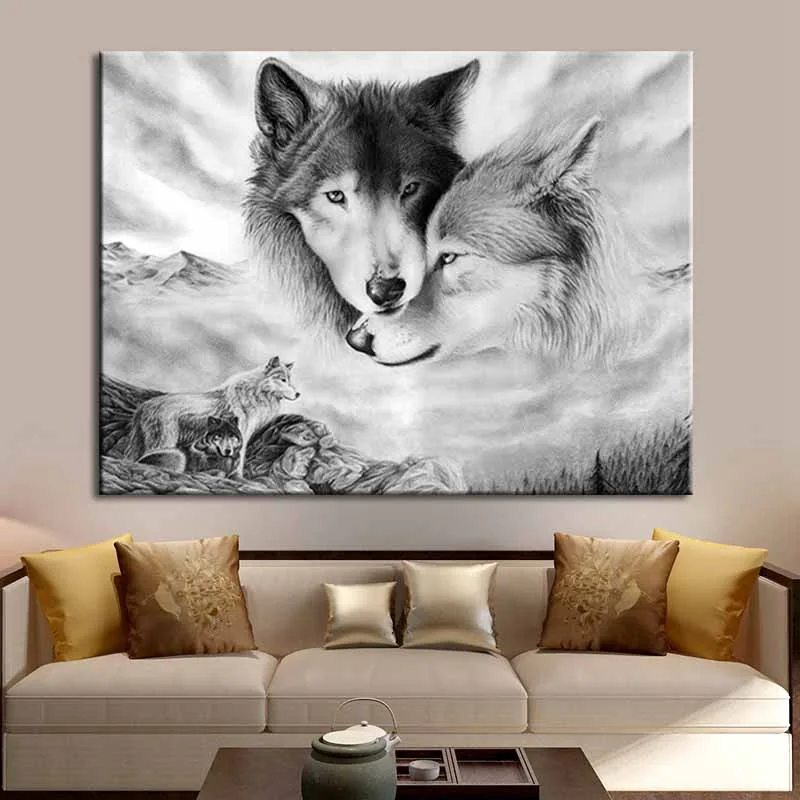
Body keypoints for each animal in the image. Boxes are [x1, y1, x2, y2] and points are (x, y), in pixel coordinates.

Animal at [125, 356, 300, 477]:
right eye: (283, 380)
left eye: (290, 380)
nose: (298, 394)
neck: (255, 393)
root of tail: (143, 406)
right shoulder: (241, 434)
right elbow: (239, 461)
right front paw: (237, 478)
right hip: (164, 442)